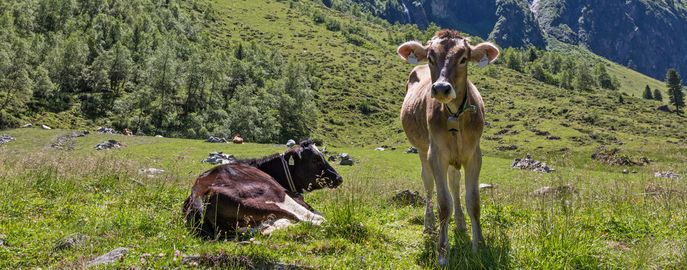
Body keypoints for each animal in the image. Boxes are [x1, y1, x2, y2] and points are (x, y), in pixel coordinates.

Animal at [398, 29, 500, 266]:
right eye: (431, 57)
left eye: (463, 58)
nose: (441, 88)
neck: (455, 114)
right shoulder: (436, 154)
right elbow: (443, 204)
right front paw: (442, 252)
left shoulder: (474, 155)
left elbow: (473, 202)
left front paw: (479, 245)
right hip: (422, 149)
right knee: (428, 182)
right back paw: (428, 224)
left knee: (454, 182)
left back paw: (461, 223)